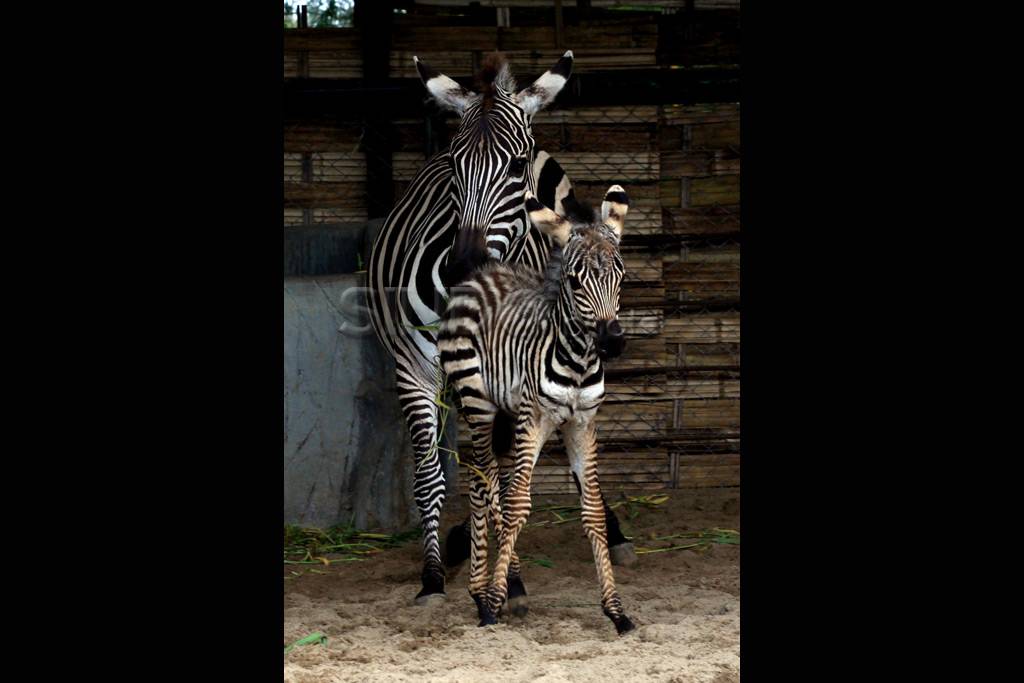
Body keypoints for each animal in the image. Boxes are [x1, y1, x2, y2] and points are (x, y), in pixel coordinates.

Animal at [437, 185, 636, 634]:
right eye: (575, 280)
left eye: (620, 276)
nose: (612, 342)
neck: (579, 362)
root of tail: (482, 272)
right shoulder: (536, 419)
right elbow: (516, 505)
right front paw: (494, 602)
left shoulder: (583, 423)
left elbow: (593, 511)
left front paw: (616, 611)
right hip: (477, 401)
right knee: (487, 482)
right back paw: (490, 594)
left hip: (503, 413)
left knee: (482, 480)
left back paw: (484, 590)